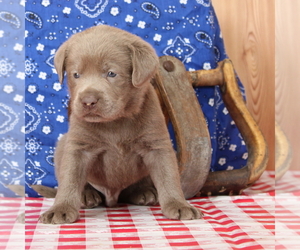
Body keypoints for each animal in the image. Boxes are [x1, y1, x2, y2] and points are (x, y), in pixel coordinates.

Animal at [38, 24, 202, 225]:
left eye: (111, 73)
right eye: (76, 75)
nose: (88, 101)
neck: (115, 121)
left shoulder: (157, 145)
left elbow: (168, 176)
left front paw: (179, 205)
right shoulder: (78, 147)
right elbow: (70, 178)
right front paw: (60, 208)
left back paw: (144, 192)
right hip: (63, 144)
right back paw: (87, 195)